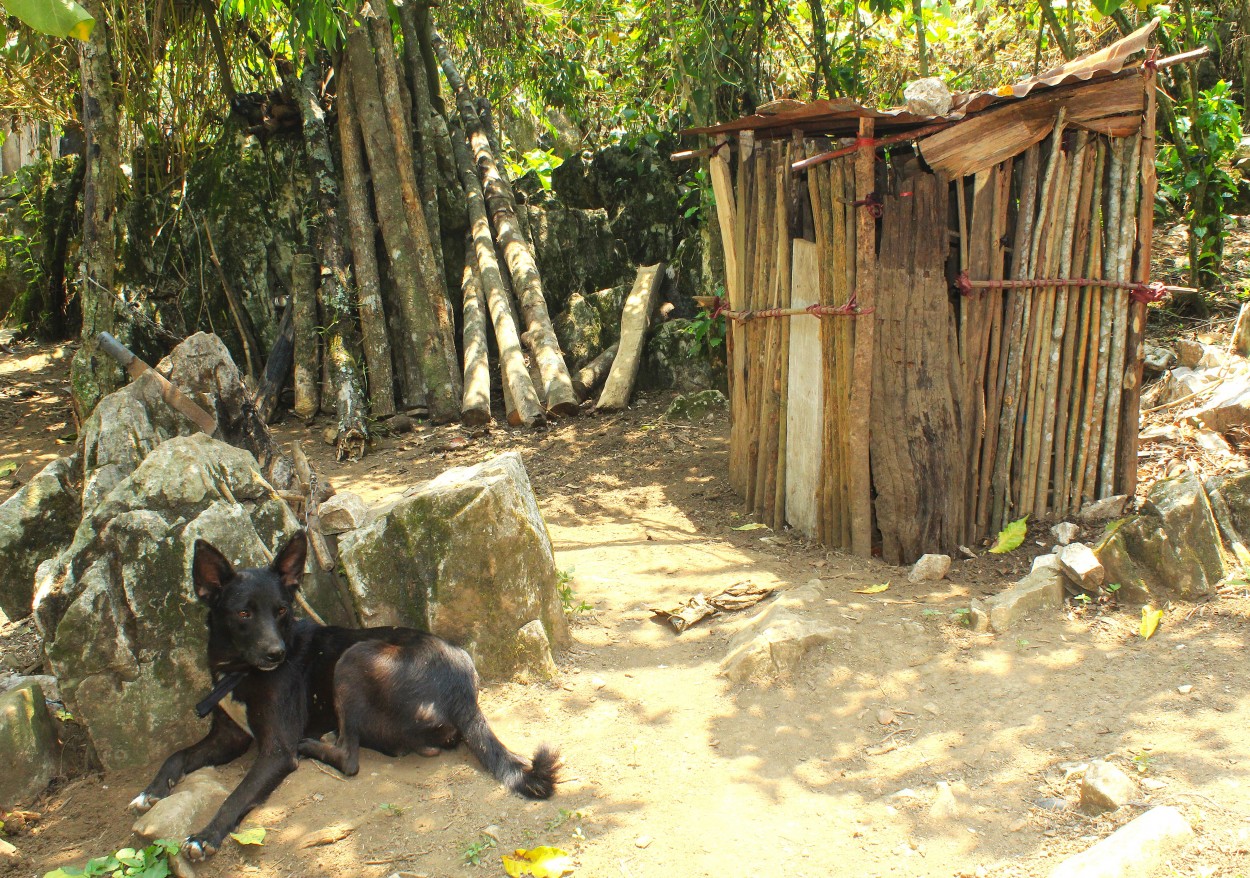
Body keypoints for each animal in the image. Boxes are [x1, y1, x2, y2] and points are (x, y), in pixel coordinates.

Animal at [130, 532, 557, 865]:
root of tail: (462, 692)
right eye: (243, 614)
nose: (276, 654)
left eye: (281, 610)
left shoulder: (275, 750)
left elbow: (238, 795)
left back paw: (315, 745)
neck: (239, 670)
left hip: (353, 657)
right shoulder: (228, 736)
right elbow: (178, 755)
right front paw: (150, 791)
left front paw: (205, 836)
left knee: (350, 758)